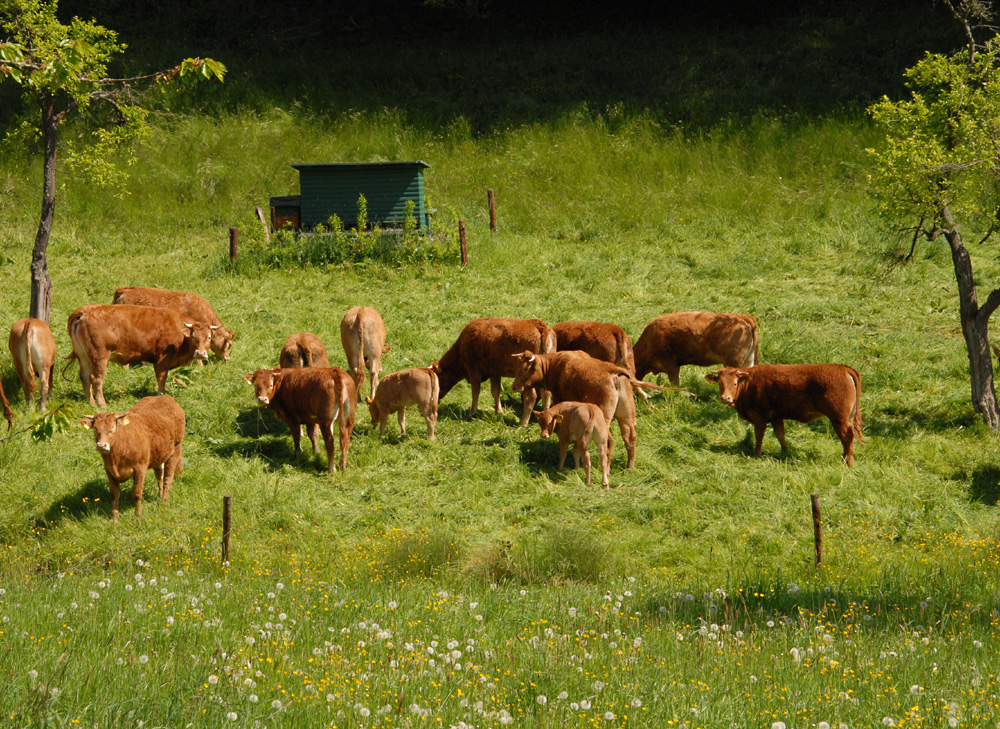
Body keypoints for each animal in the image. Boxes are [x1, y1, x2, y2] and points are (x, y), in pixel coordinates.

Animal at [66, 302, 213, 410]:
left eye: (209, 337)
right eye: (193, 336)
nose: (200, 353)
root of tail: (85, 311)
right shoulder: (163, 359)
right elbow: (162, 378)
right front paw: (162, 396)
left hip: (84, 357)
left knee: (84, 377)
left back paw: (91, 403)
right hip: (100, 356)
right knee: (96, 379)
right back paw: (102, 404)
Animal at [80, 392, 186, 524]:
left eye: (113, 429)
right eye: (95, 429)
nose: (101, 445)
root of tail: (166, 397)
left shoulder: (140, 468)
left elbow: (137, 493)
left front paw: (138, 516)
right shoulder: (109, 470)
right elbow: (115, 493)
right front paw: (114, 518)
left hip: (175, 450)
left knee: (168, 478)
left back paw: (164, 503)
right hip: (159, 454)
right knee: (159, 475)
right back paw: (160, 497)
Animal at [512, 352, 668, 466]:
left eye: (525, 368)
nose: (514, 386)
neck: (555, 365)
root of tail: (613, 372)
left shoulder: (559, 399)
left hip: (604, 418)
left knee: (609, 441)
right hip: (626, 416)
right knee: (630, 438)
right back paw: (630, 466)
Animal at [708, 362, 864, 464]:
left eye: (735, 383)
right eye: (720, 383)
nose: (725, 398)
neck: (750, 383)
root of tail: (843, 368)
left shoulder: (759, 416)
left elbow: (759, 436)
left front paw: (756, 454)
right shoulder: (776, 417)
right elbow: (780, 435)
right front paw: (785, 451)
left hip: (839, 418)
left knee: (847, 437)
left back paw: (847, 461)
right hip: (848, 418)